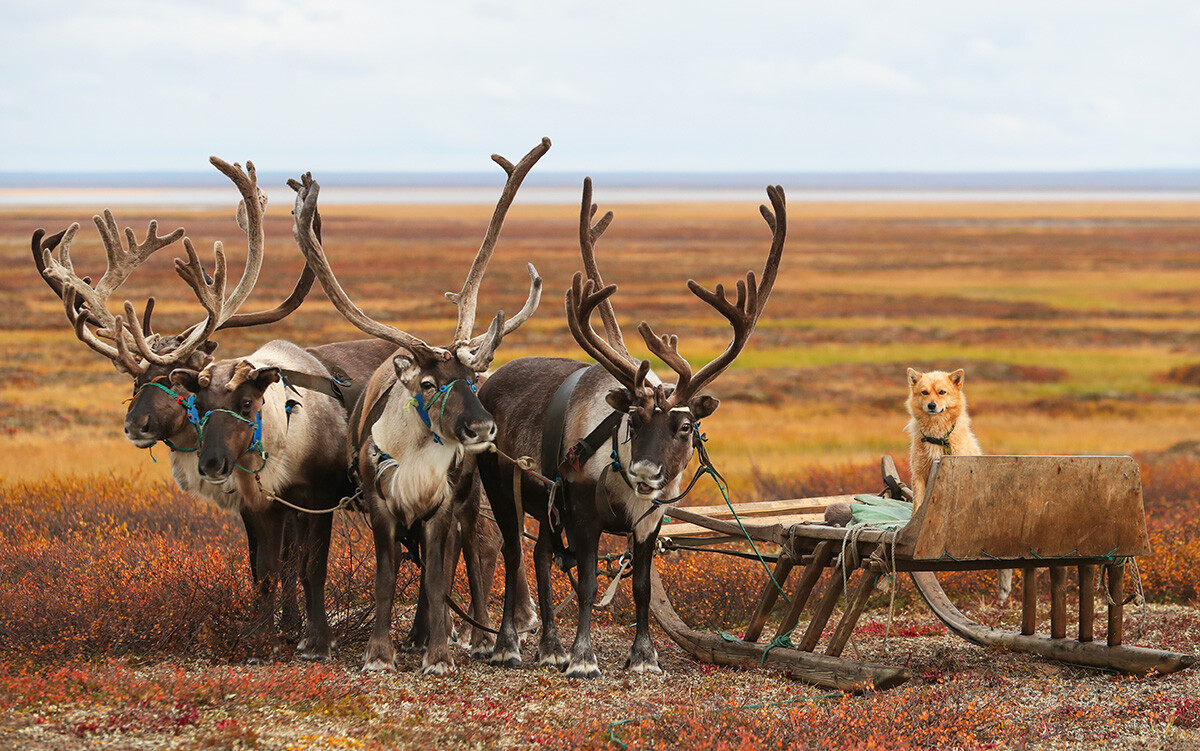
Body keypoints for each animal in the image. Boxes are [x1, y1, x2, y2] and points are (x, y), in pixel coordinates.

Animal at [902, 369, 1008, 602]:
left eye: (942, 392)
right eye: (924, 393)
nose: (932, 405)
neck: (937, 438)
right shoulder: (919, 475)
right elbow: (918, 506)